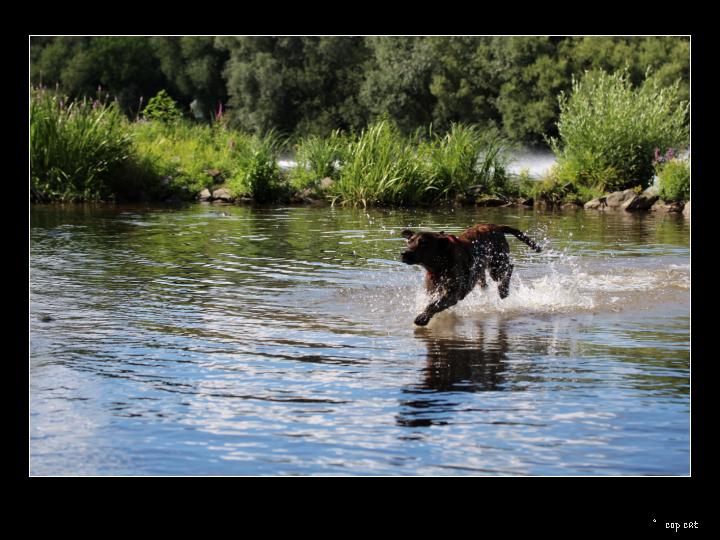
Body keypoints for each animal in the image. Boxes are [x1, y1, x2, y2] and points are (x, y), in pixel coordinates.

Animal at [400, 224, 540, 324]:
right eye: (409, 242)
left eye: (423, 243)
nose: (403, 253)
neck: (439, 266)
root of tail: (496, 226)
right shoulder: (432, 291)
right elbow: (434, 302)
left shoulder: (453, 293)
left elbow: (434, 304)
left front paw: (423, 317)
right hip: (481, 271)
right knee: (485, 282)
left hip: (496, 264)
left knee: (509, 269)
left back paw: (503, 290)